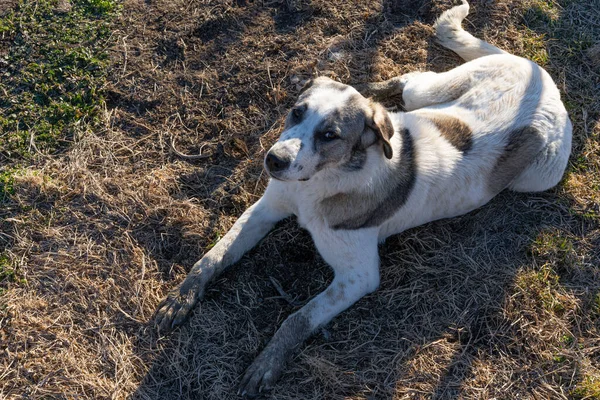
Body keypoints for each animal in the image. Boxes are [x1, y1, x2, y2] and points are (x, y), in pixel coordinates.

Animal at [154, 1, 572, 396]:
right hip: (430, 95)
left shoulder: (357, 277)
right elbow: (214, 255)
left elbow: (298, 318)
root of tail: (541, 76)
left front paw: (267, 363)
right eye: (296, 112)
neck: (318, 184)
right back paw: (371, 88)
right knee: (407, 84)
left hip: (539, 178)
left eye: (330, 135)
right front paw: (181, 298)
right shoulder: (265, 209)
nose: (274, 160)